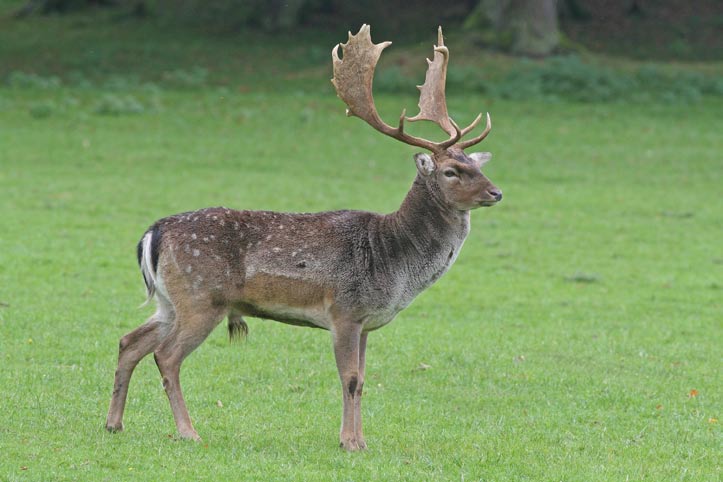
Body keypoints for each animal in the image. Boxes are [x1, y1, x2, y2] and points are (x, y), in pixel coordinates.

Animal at [106, 24, 504, 450]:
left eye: (474, 165)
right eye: (451, 171)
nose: (496, 192)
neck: (393, 259)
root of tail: (154, 233)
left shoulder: (366, 322)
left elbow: (363, 380)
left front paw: (361, 441)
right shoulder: (345, 310)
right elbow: (350, 378)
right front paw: (349, 443)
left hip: (170, 301)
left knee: (129, 341)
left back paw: (114, 423)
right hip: (202, 297)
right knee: (166, 356)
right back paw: (188, 431)